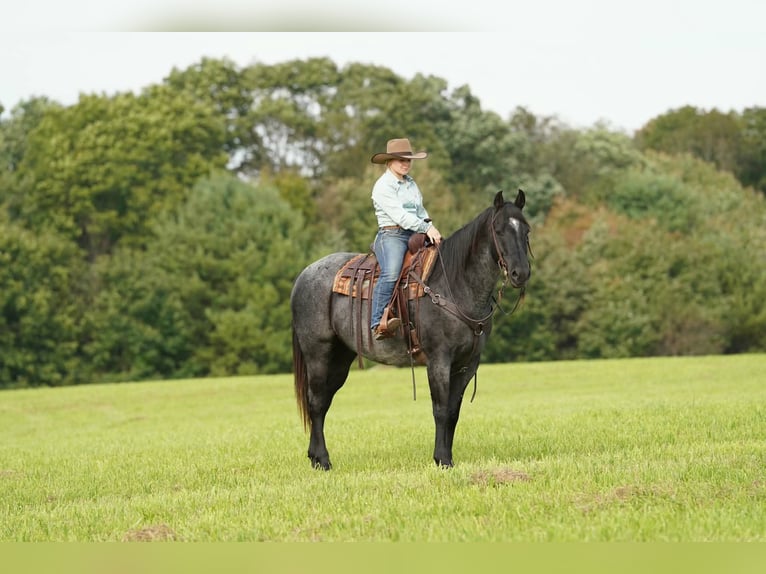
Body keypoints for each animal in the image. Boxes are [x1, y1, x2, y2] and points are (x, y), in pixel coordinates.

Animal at [291, 189, 531, 469]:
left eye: (526, 229)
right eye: (499, 230)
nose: (520, 273)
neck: (455, 284)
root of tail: (304, 276)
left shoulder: (468, 363)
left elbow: (453, 411)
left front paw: (448, 458)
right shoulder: (439, 359)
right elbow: (440, 409)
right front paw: (442, 459)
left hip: (341, 357)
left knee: (324, 401)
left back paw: (315, 456)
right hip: (317, 353)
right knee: (316, 402)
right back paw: (323, 461)